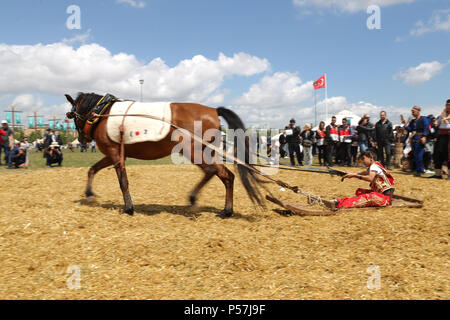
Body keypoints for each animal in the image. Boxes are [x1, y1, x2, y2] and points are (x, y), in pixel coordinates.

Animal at [65, 92, 266, 218]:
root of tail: (213, 110)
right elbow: (92, 169)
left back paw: (193, 198)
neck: (102, 113)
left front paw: (128, 208)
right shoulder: (114, 153)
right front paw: (89, 194)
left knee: (211, 172)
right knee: (227, 176)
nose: (81, 139)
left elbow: (123, 181)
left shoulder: (114, 153)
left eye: (72, 115)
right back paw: (226, 211)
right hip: (206, 152)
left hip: (193, 151)